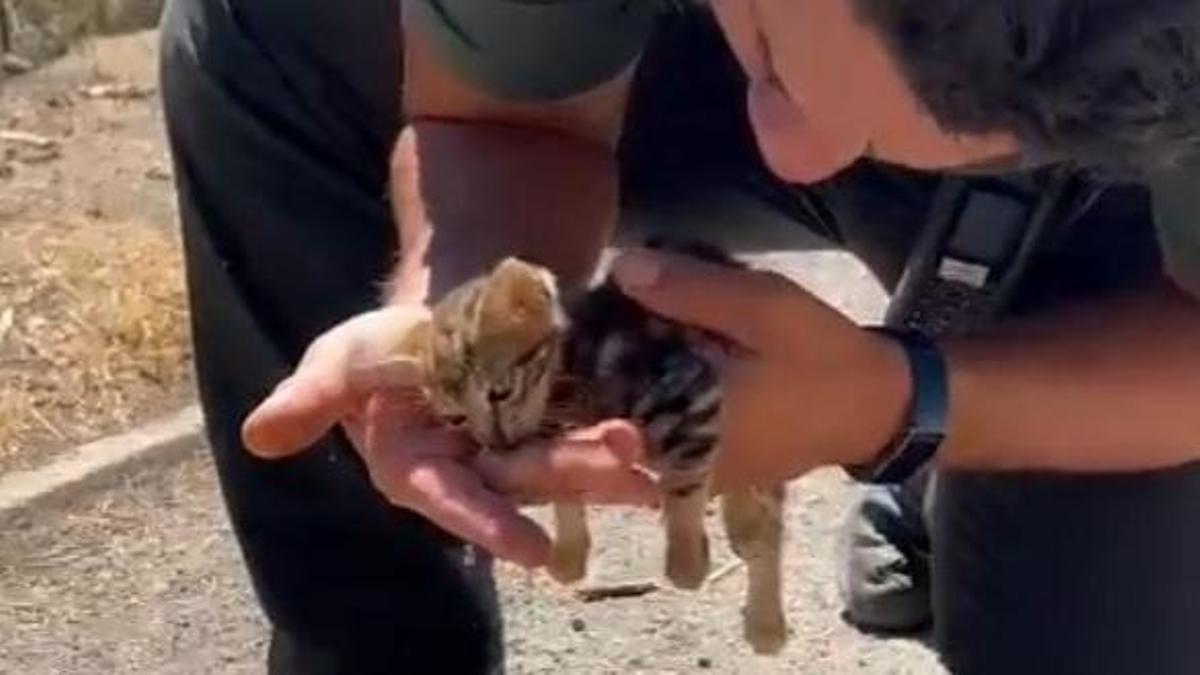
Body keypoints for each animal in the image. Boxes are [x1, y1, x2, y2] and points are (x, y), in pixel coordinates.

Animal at [403, 241, 792, 653]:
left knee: (771, 526)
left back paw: (766, 620)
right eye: (456, 419)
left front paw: (686, 563)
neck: (571, 367)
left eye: (500, 393)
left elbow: (683, 482)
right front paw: (570, 554)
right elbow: (565, 493)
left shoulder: (684, 393)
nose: (495, 441)